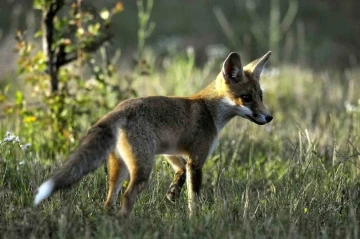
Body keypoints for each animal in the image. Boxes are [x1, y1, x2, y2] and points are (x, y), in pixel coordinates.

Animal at [35, 51, 272, 218]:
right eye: (246, 98)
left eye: (260, 96)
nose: (269, 117)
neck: (209, 110)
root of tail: (118, 108)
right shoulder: (196, 160)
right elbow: (193, 199)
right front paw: (194, 220)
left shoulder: (170, 152)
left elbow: (180, 174)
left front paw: (171, 196)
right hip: (142, 169)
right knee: (127, 197)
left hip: (119, 168)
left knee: (109, 201)